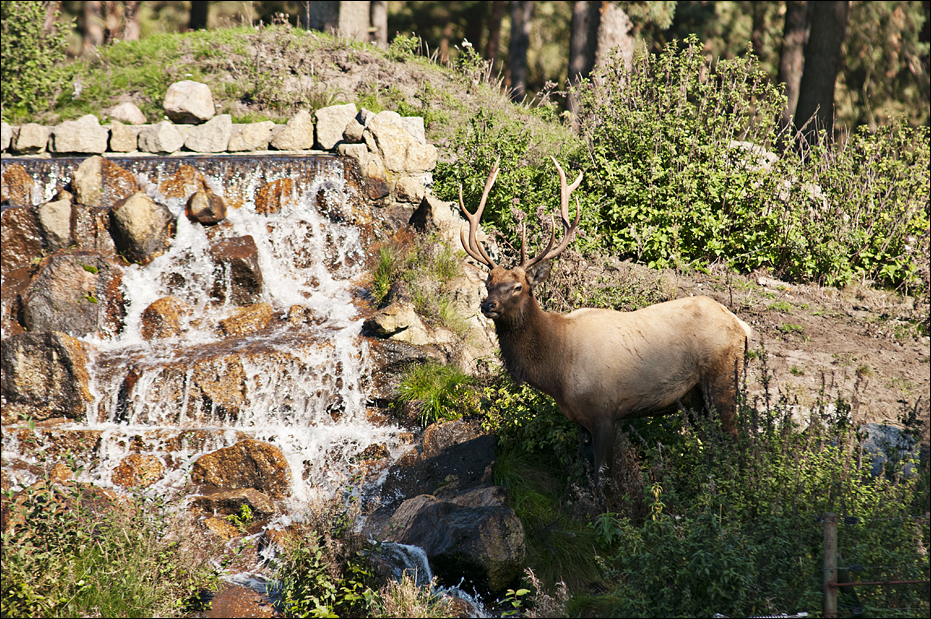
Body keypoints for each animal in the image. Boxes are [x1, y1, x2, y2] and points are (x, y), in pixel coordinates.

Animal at [459, 157, 753, 482]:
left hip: (723, 378)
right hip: (694, 398)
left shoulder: (604, 411)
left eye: (517, 287)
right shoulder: (579, 420)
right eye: (488, 283)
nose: (488, 305)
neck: (557, 370)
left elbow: (602, 478)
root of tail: (742, 327)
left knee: (737, 439)